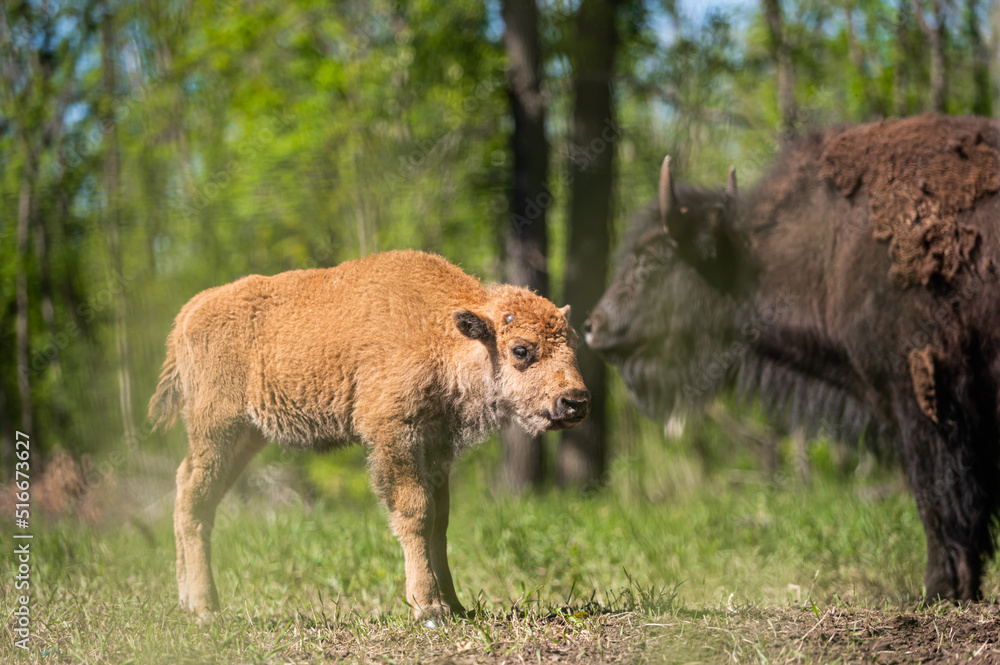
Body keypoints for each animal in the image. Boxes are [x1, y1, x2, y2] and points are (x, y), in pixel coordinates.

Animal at [148, 249, 590, 621]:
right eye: (521, 350)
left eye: (573, 345)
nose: (576, 401)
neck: (440, 331)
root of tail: (188, 313)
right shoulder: (395, 435)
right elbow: (416, 512)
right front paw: (428, 608)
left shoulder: (436, 448)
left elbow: (440, 520)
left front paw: (456, 606)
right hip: (217, 429)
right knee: (193, 502)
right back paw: (206, 609)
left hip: (244, 438)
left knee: (189, 489)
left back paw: (188, 601)